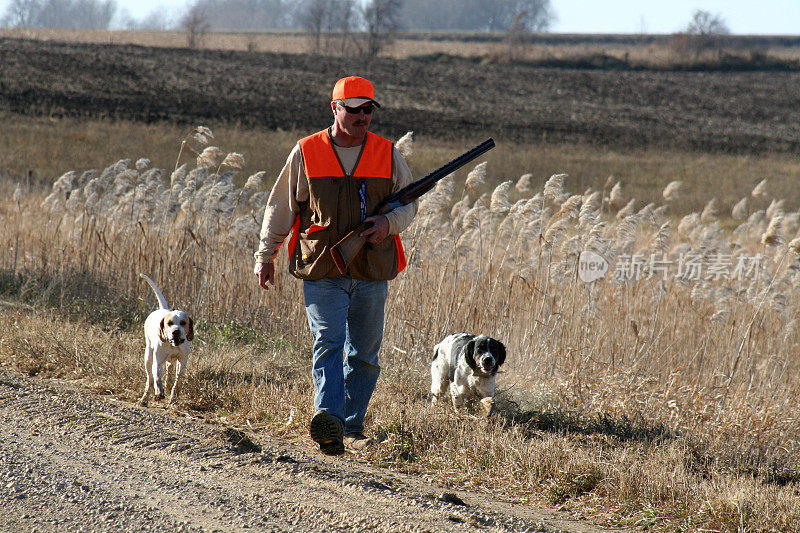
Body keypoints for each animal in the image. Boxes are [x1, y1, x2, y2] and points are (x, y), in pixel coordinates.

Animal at [138, 272, 194, 406]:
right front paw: (159, 392)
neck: (173, 345)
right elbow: (158, 377)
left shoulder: (182, 361)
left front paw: (174, 398)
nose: (176, 331)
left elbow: (177, 383)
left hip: (170, 361)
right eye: (169, 323)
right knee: (150, 379)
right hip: (148, 356)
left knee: (169, 374)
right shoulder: (158, 361)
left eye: (183, 323)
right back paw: (145, 398)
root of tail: (162, 309)